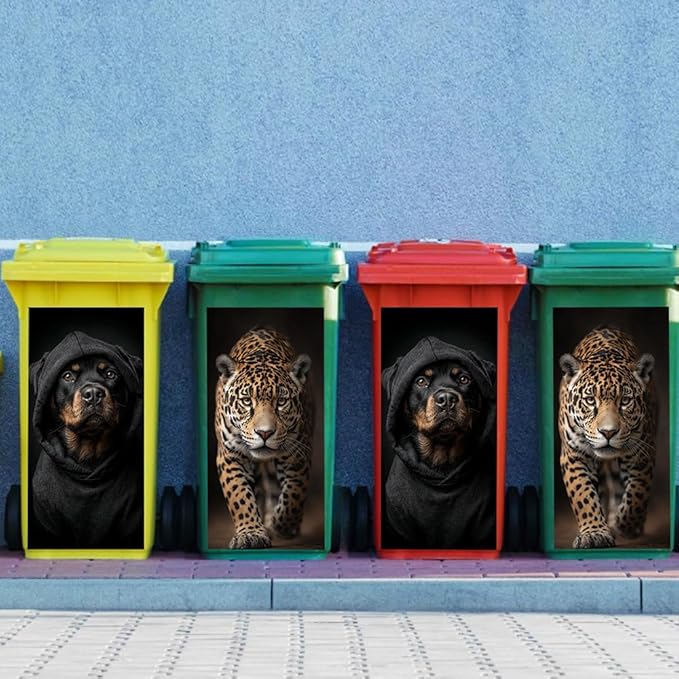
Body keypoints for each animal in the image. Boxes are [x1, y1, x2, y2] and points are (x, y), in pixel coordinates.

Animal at [214, 327, 313, 549]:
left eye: (281, 402)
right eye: (246, 401)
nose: (265, 433)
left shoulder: (297, 456)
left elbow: (294, 495)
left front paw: (280, 526)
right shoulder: (230, 456)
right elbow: (240, 496)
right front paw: (250, 533)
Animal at [558, 326, 656, 549]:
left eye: (625, 401)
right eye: (589, 400)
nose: (608, 432)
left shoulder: (641, 455)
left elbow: (637, 494)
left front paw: (625, 525)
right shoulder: (574, 455)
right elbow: (583, 495)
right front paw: (594, 533)